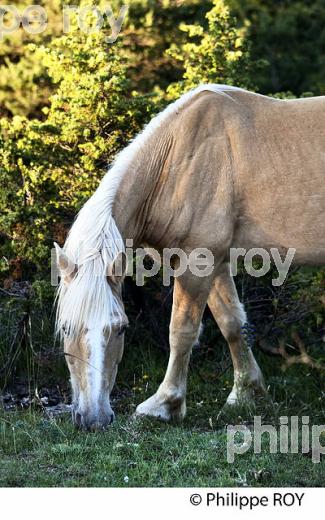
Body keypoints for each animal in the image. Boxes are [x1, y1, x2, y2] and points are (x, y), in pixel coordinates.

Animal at [54, 83, 324, 428]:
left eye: (121, 328)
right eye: (66, 328)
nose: (94, 418)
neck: (176, 160)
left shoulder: (197, 261)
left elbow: (181, 331)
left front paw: (164, 404)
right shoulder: (215, 261)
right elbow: (232, 323)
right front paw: (245, 394)